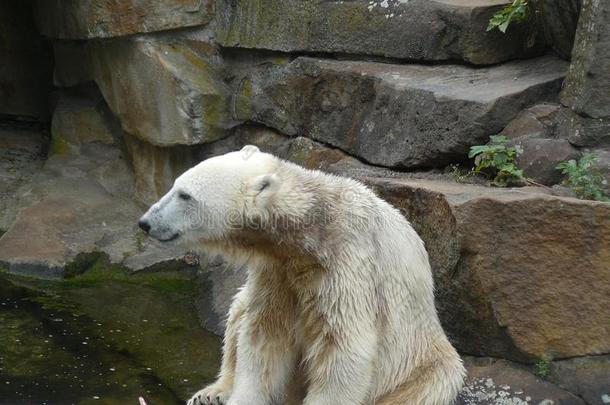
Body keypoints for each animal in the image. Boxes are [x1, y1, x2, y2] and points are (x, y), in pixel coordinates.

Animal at [137, 146, 460, 404]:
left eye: (185, 195)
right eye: (176, 185)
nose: (145, 222)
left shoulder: (347, 265)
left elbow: (343, 348)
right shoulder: (276, 272)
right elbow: (263, 335)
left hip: (422, 365)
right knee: (238, 311)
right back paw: (212, 393)